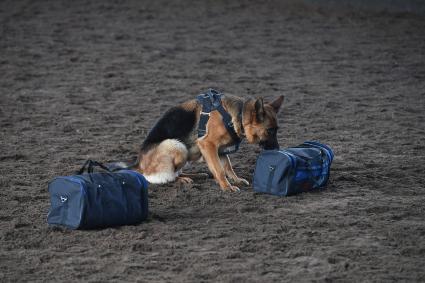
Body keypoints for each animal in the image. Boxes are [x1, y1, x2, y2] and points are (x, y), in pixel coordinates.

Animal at [132, 93, 284, 193]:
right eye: (270, 131)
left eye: (277, 129)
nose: (277, 149)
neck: (238, 115)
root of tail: (139, 165)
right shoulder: (208, 145)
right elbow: (220, 170)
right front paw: (227, 187)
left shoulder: (221, 150)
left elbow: (228, 167)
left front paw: (236, 180)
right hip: (176, 145)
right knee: (165, 177)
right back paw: (181, 180)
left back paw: (196, 175)